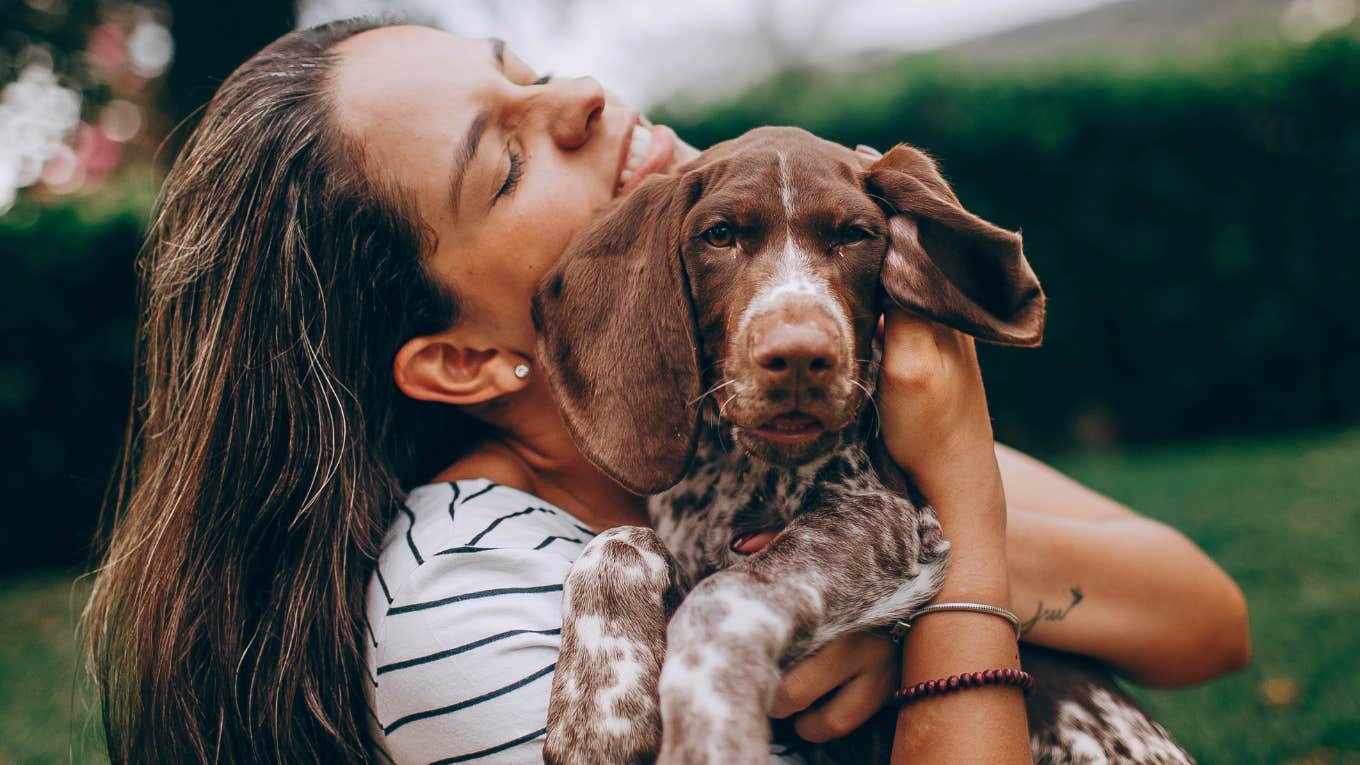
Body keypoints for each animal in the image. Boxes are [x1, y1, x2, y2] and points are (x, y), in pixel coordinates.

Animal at [530, 126, 1191, 762]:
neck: (737, 472)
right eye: (719, 236)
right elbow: (618, 542)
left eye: (854, 236)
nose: (800, 357)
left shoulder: (882, 518)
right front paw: (600, 706)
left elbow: (721, 599)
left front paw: (709, 732)